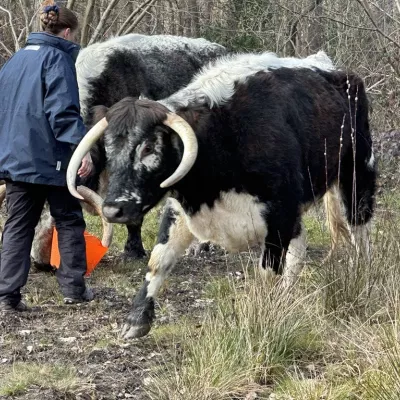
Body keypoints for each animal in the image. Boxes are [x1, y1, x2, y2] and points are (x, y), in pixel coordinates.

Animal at [67, 48, 376, 340]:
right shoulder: (182, 208)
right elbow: (159, 260)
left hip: (357, 175)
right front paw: (136, 321)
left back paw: (362, 276)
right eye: (108, 148)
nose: (112, 210)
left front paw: (262, 319)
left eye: (148, 147)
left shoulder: (278, 214)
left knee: (359, 232)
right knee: (300, 248)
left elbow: (267, 273)